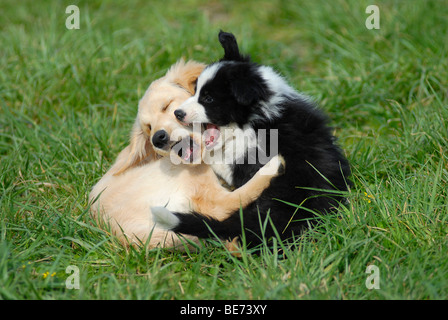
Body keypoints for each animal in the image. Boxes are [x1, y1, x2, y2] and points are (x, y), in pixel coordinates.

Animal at [152, 31, 352, 246]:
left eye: (208, 99)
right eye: (195, 90)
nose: (178, 113)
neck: (255, 118)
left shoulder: (244, 160)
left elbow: (219, 160)